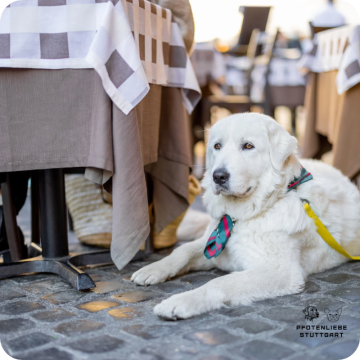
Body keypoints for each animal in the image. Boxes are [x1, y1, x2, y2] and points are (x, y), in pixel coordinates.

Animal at [131, 114, 360, 320]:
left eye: (248, 146)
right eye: (217, 146)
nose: (218, 176)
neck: (240, 217)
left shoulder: (281, 271)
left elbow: (220, 282)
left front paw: (181, 302)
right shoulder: (212, 244)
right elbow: (183, 250)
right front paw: (153, 269)